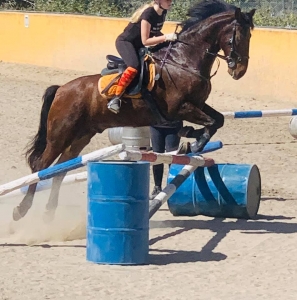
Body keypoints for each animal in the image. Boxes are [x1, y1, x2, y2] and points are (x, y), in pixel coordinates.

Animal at [12, 0, 254, 220]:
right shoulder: (179, 108)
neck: (184, 60)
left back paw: (49, 212)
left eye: (250, 37)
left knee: (60, 170)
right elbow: (210, 123)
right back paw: (21, 210)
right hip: (60, 134)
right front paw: (192, 142)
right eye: (238, 37)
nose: (240, 71)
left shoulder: (197, 104)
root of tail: (61, 89)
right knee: (41, 166)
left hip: (81, 136)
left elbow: (218, 120)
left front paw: (190, 140)